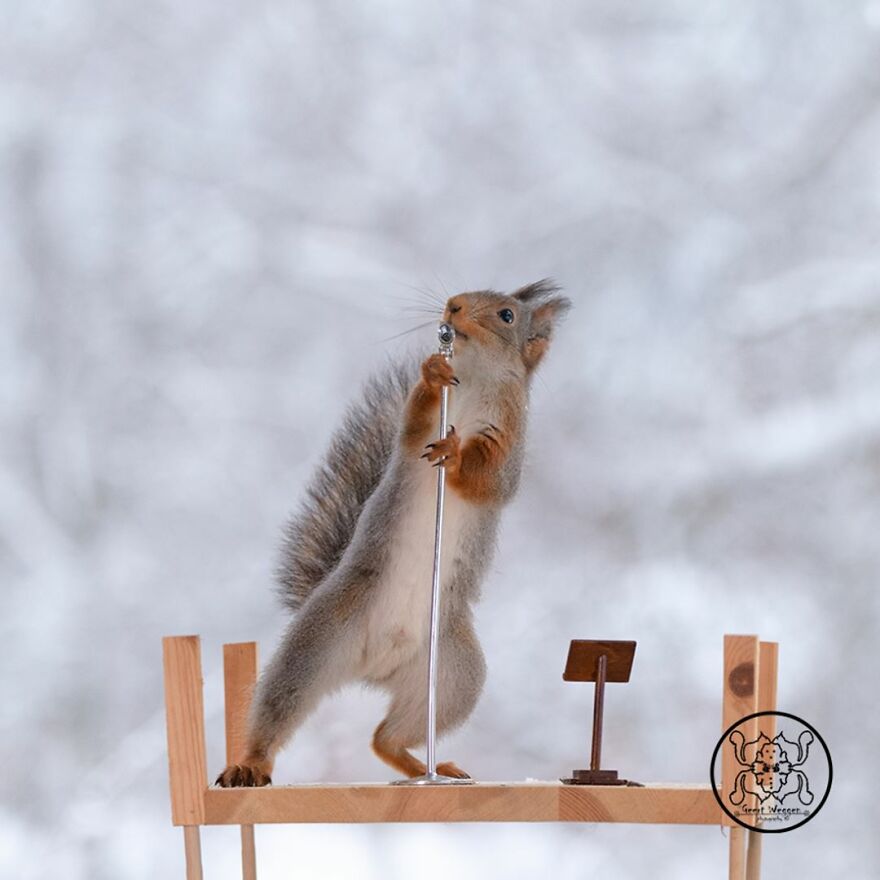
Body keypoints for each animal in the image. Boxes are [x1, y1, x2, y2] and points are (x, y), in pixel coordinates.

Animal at [216, 280, 570, 786]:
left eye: (507, 315)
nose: (453, 307)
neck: (476, 379)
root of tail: (373, 669)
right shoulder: (411, 437)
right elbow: (415, 421)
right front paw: (432, 372)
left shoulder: (510, 438)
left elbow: (490, 481)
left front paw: (456, 456)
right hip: (316, 643)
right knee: (280, 707)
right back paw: (251, 762)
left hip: (452, 676)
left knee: (385, 737)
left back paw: (426, 766)